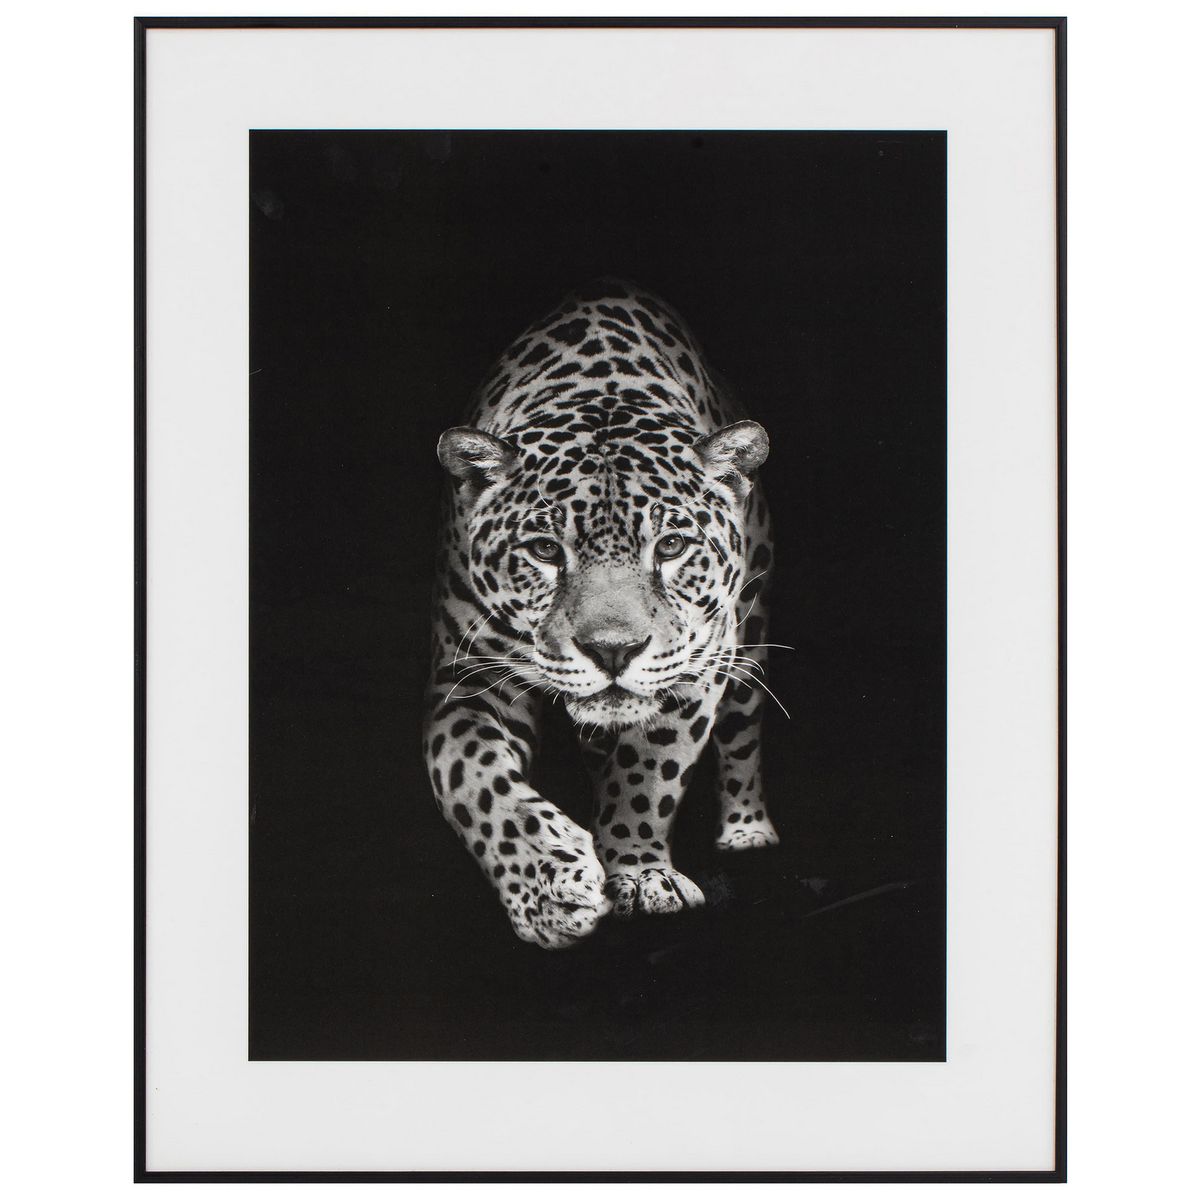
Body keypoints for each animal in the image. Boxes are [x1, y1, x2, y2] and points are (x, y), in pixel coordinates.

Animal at [422, 280, 779, 949]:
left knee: (743, 733)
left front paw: (638, 873)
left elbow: (649, 772)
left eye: (671, 546)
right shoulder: (468, 677)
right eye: (544, 550)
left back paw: (748, 831)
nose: (613, 650)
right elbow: (472, 776)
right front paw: (549, 889)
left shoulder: (697, 665)